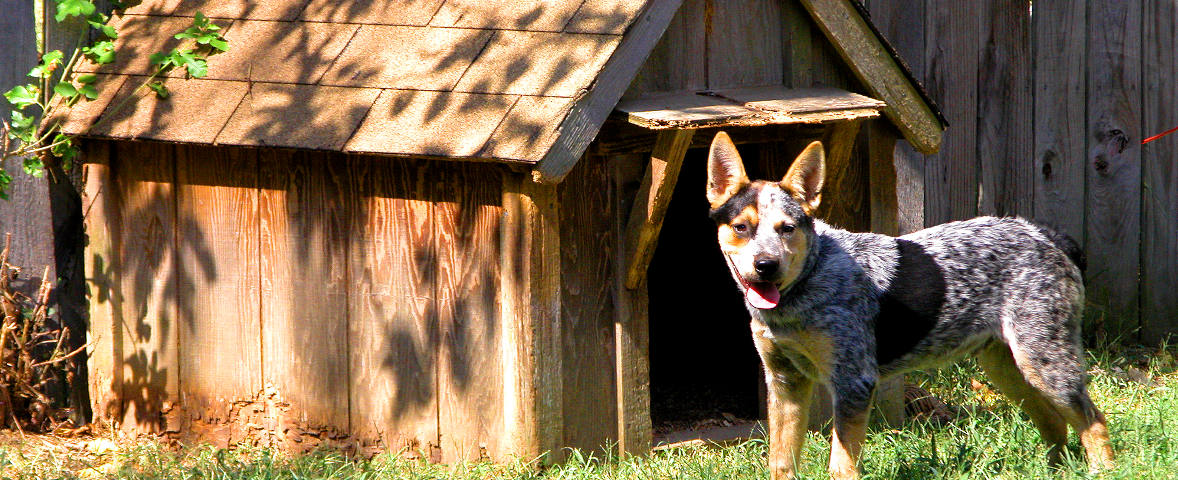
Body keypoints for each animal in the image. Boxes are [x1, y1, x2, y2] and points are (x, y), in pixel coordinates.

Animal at [702, 132, 1116, 480]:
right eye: (741, 227)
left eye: (787, 229)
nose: (766, 265)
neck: (805, 286)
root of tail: (1047, 234)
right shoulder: (785, 383)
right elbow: (781, 462)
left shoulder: (854, 382)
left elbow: (840, 466)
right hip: (1007, 368)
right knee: (1055, 423)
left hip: (1045, 364)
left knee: (1093, 420)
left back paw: (1103, 471)